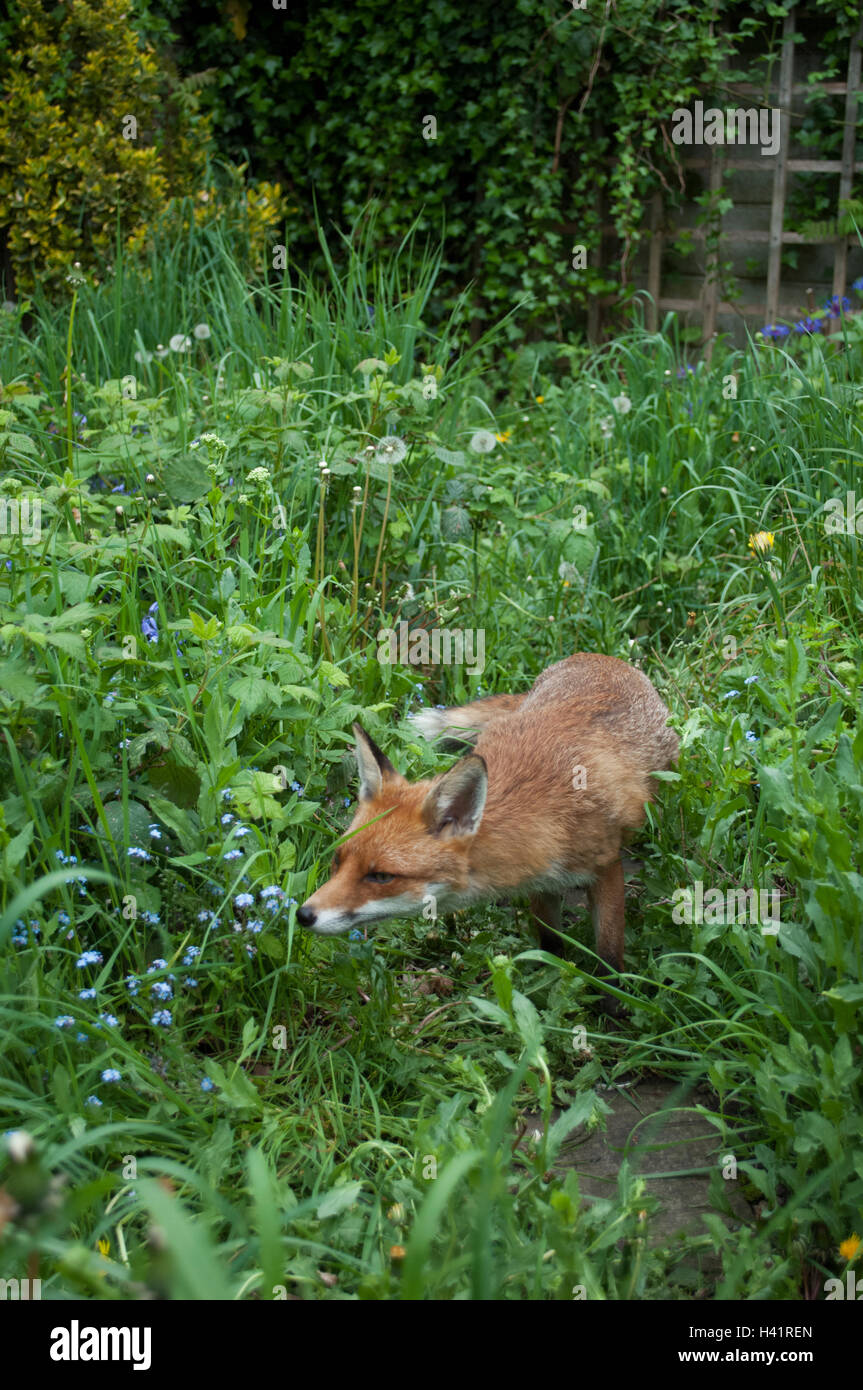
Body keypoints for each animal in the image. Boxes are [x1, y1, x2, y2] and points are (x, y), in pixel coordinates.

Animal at [294, 656, 672, 984]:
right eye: (338, 860)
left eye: (381, 876)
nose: (303, 914)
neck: (548, 811)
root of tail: (596, 656)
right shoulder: (540, 881)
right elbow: (550, 944)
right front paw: (550, 976)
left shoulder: (605, 865)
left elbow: (609, 956)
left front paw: (613, 1008)